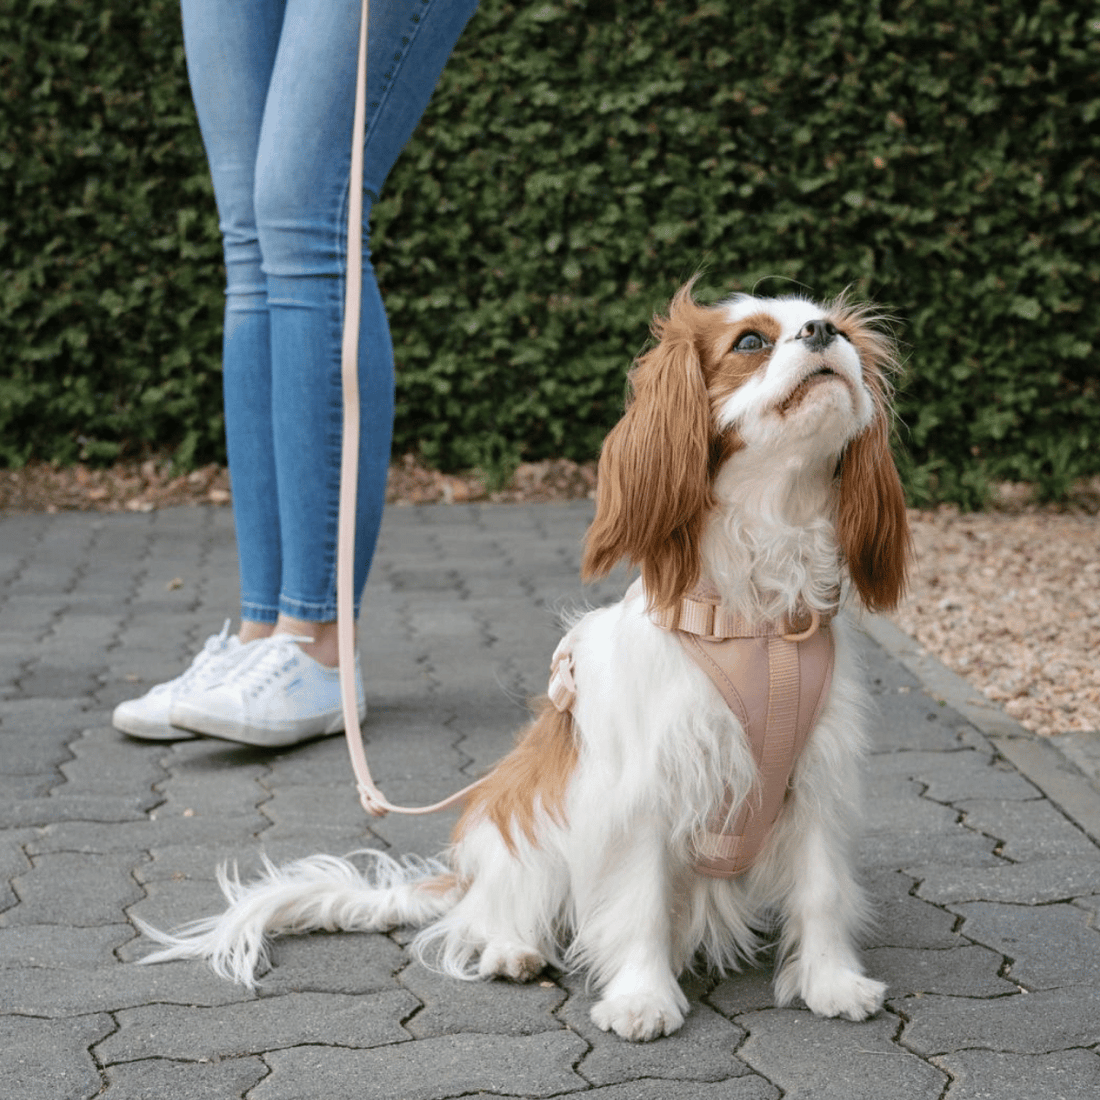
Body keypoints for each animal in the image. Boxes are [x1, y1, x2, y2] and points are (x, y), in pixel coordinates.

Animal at [139, 281, 910, 1038]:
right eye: (750, 341)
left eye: (837, 328)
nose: (822, 333)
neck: (754, 627)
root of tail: (466, 875)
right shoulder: (639, 791)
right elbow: (638, 900)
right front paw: (642, 998)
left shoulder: (816, 780)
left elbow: (821, 891)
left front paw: (831, 982)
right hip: (524, 828)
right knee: (486, 917)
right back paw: (510, 949)